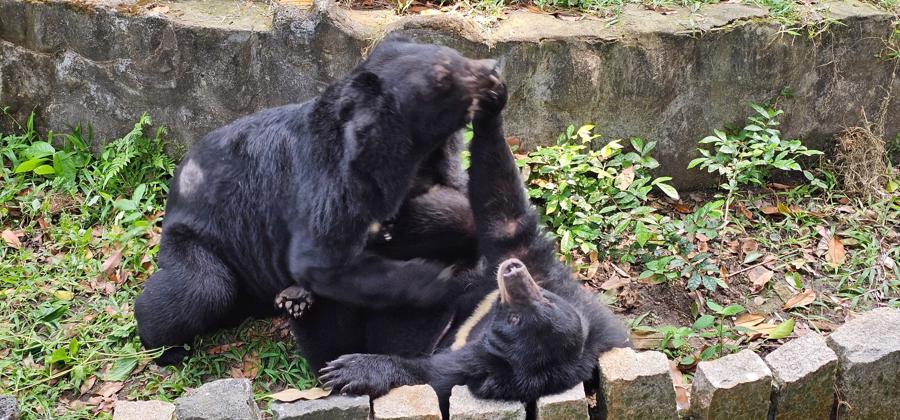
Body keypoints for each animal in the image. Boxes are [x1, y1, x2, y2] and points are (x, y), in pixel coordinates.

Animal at [134, 36, 500, 364]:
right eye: (443, 75)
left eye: (457, 54)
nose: (493, 68)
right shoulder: (330, 183)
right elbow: (320, 259)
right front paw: (438, 281)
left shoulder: (440, 166)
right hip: (202, 241)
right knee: (202, 288)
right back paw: (165, 349)